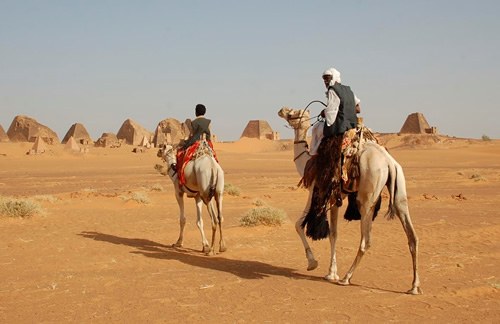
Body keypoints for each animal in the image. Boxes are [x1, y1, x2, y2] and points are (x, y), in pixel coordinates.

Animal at [278, 107, 422, 294]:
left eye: (294, 112)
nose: (282, 110)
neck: (307, 161)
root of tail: (388, 162)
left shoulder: (315, 190)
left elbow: (298, 225)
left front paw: (313, 263)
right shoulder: (336, 197)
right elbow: (333, 233)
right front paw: (331, 273)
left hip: (366, 199)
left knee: (366, 241)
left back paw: (347, 278)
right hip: (399, 190)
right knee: (412, 235)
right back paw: (414, 286)